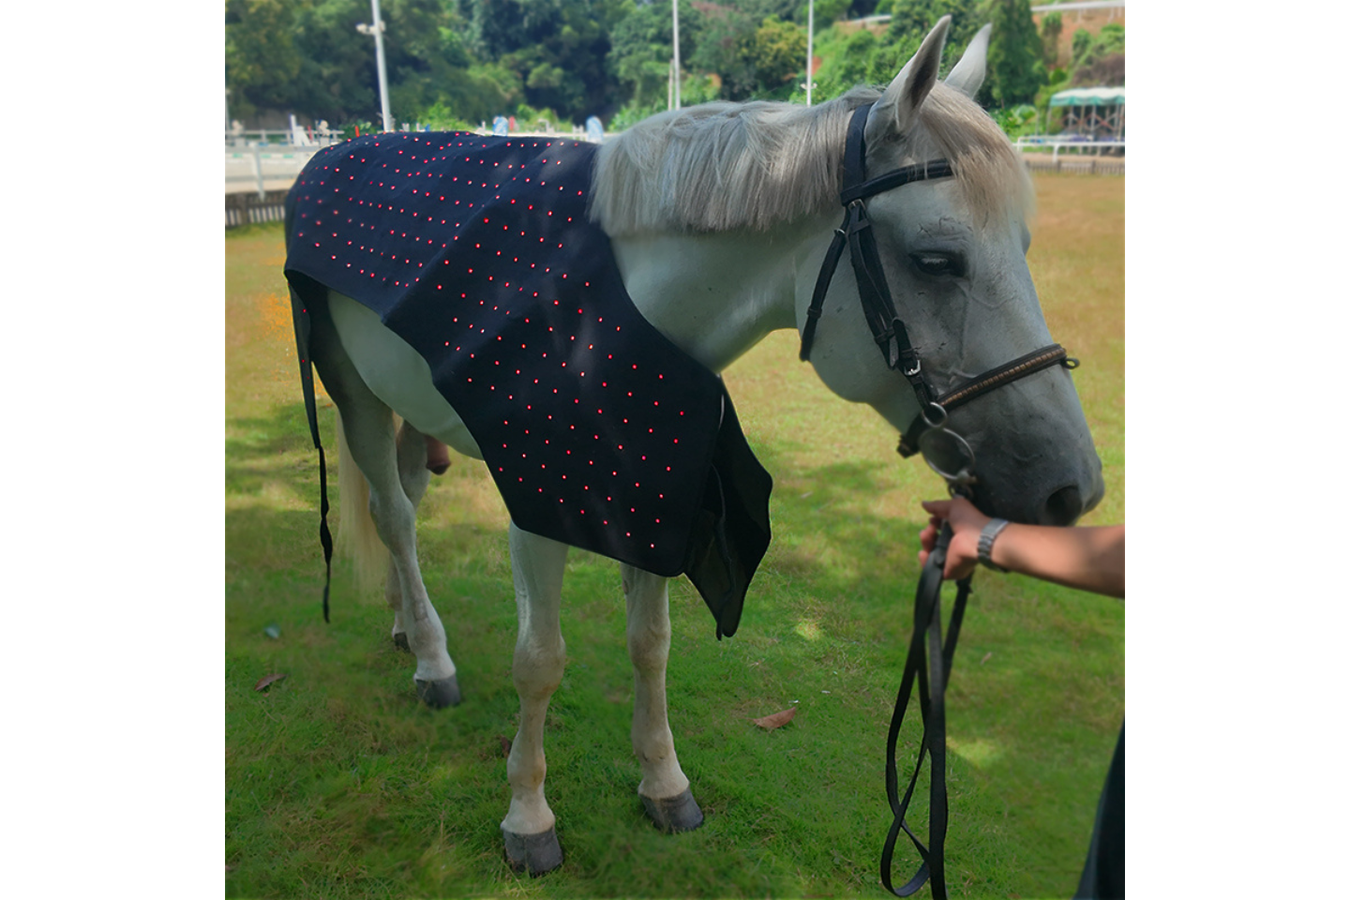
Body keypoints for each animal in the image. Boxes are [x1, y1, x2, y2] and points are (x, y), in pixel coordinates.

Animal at [282, 16, 1104, 876]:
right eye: (936, 260)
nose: (1070, 487)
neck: (610, 312)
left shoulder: (655, 481)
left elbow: (651, 644)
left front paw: (663, 782)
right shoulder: (540, 507)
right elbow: (539, 661)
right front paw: (529, 816)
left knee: (403, 503)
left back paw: (406, 625)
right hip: (353, 391)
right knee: (395, 518)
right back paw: (432, 660)